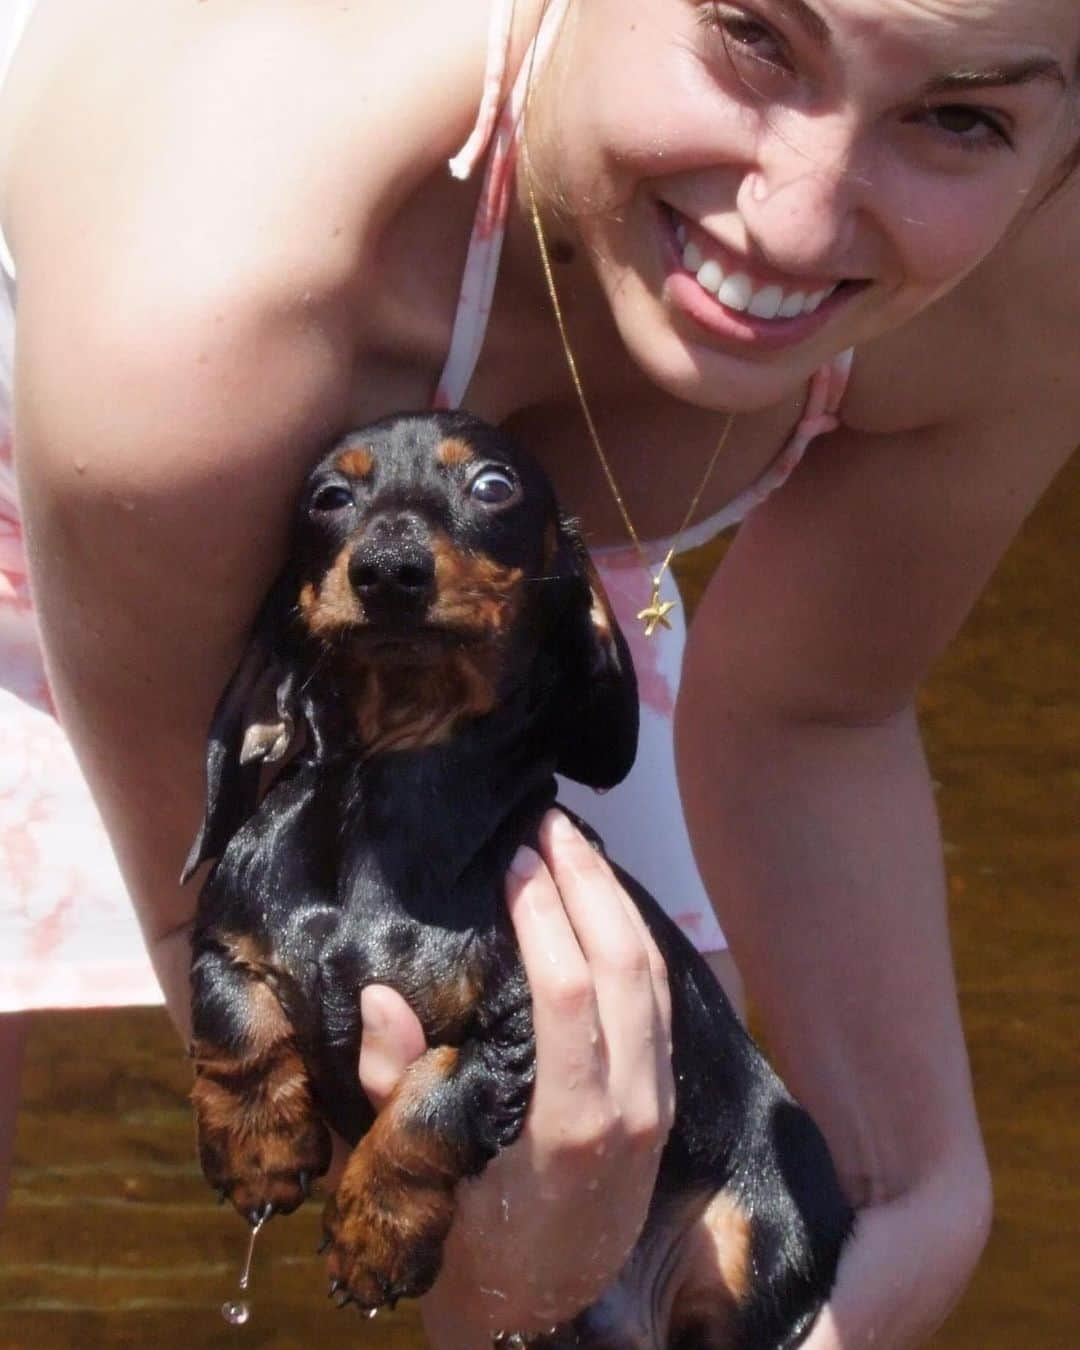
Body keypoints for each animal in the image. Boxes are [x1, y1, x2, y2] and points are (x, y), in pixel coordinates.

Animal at [183, 410, 853, 1350]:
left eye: (493, 486)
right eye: (328, 496)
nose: (389, 569)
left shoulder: (521, 1016)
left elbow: (432, 1102)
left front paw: (374, 1234)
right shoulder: (228, 927)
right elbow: (233, 1012)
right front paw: (257, 1148)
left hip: (759, 1238)